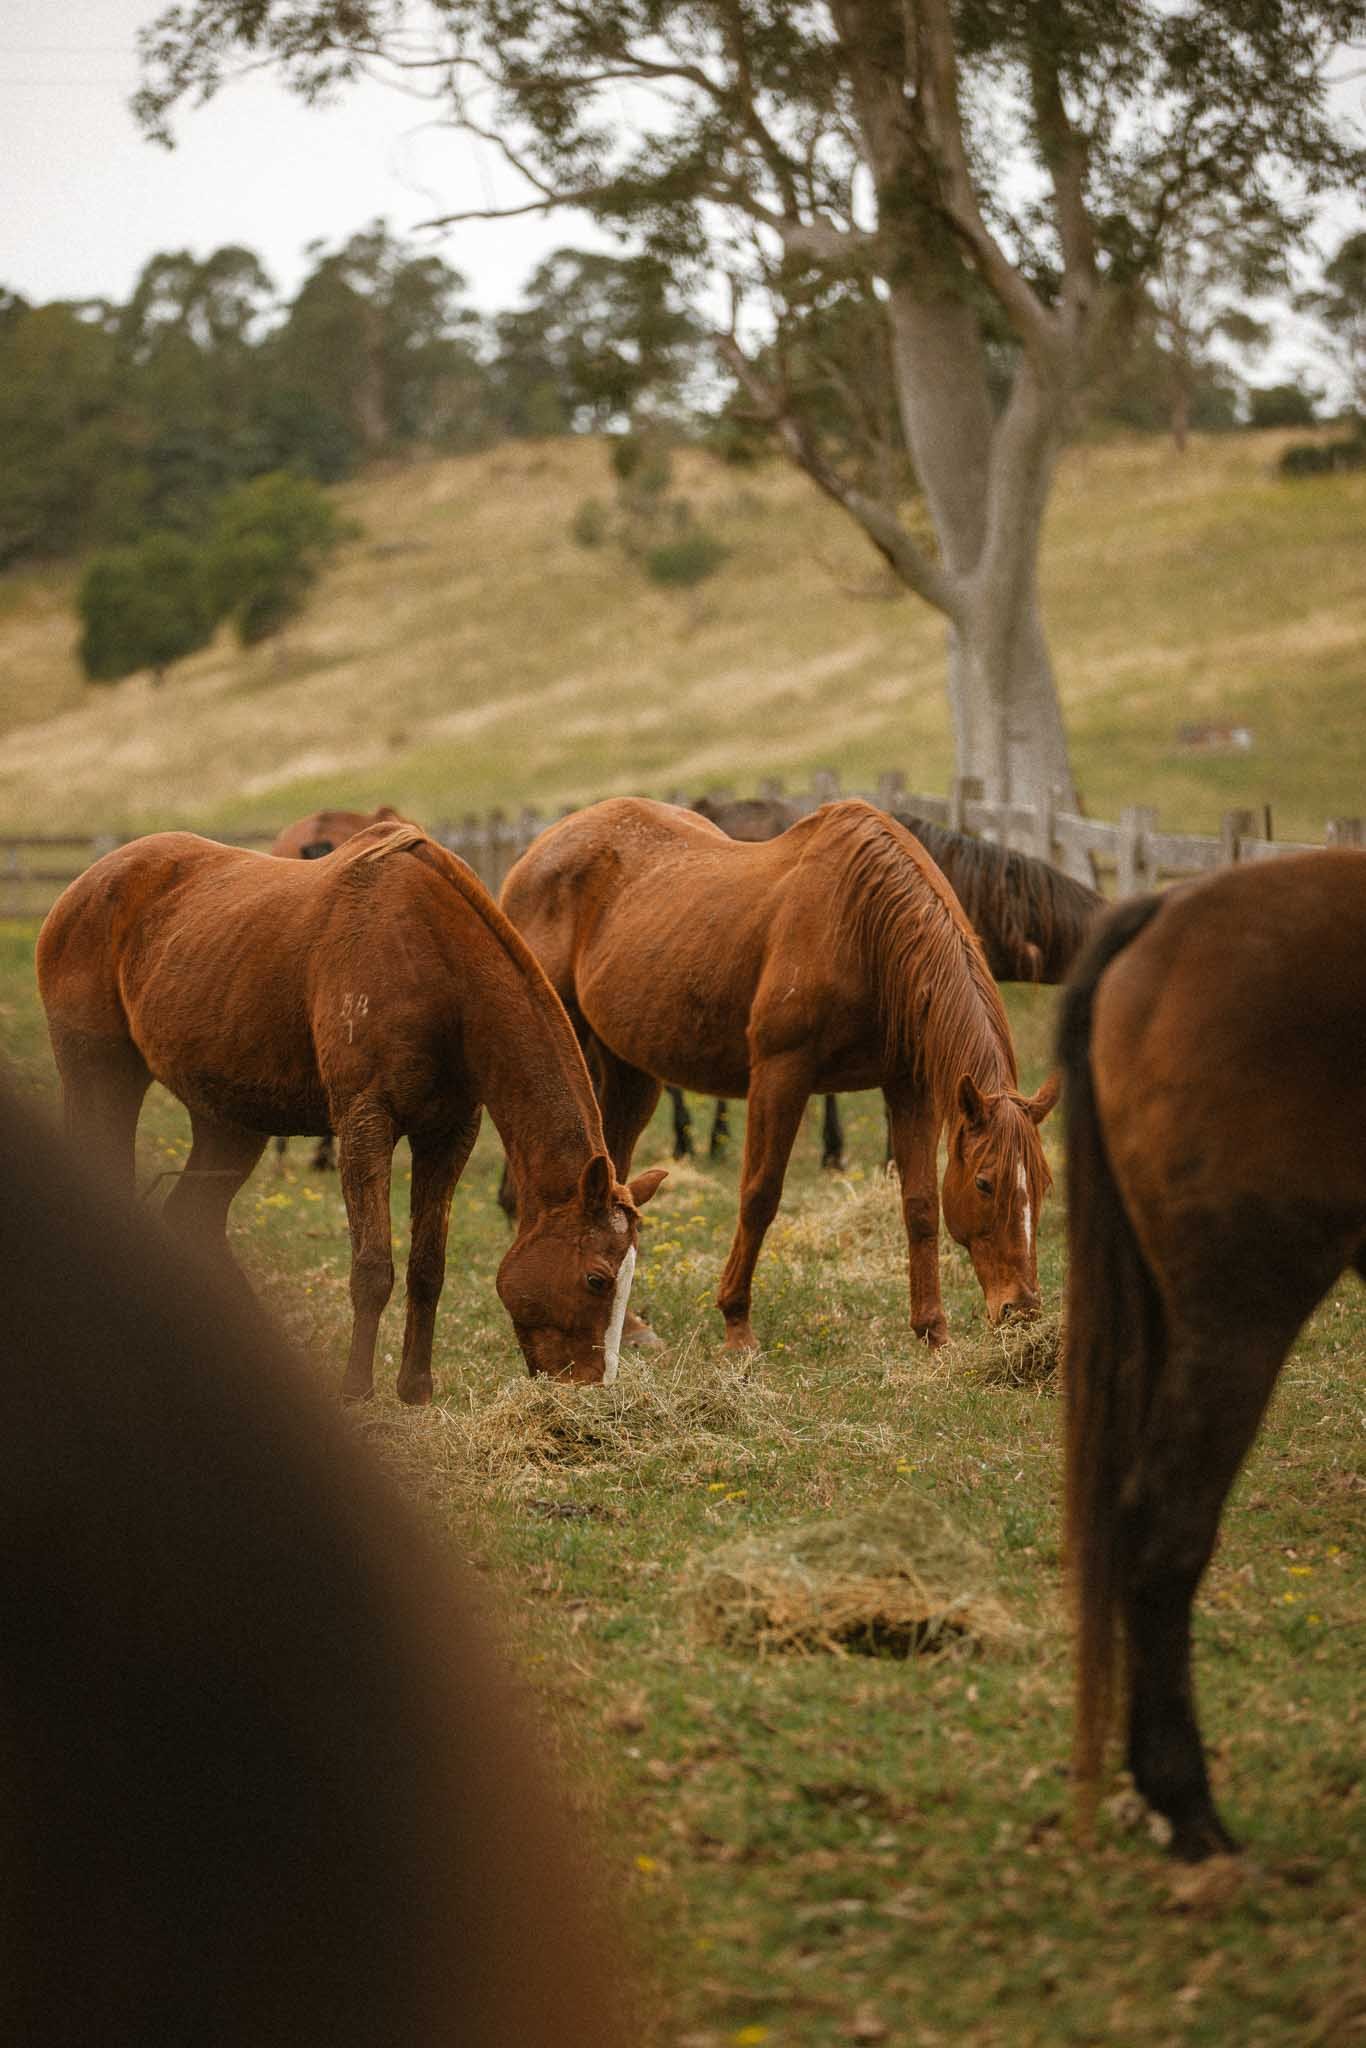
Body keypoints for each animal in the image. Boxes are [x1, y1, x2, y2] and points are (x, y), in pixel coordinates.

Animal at [36, 822, 665, 1399]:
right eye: (597, 1279)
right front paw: (356, 1388)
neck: (432, 960)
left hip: (229, 1124)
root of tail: (83, 888)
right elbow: (372, 1267)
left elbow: (426, 1267)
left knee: (195, 1220)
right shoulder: (365, 1124)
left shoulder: (448, 1133)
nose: (592, 1386)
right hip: (101, 1077)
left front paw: (415, 1388)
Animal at [502, 797, 1056, 1350]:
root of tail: (538, 850)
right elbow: (759, 1195)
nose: (1022, 1309)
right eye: (985, 1183)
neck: (862, 928)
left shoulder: (910, 1088)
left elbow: (919, 1205)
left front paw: (932, 1332)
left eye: (1045, 1184)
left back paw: (631, 1325)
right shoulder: (781, 1075)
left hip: (631, 1072)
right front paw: (737, 1325)